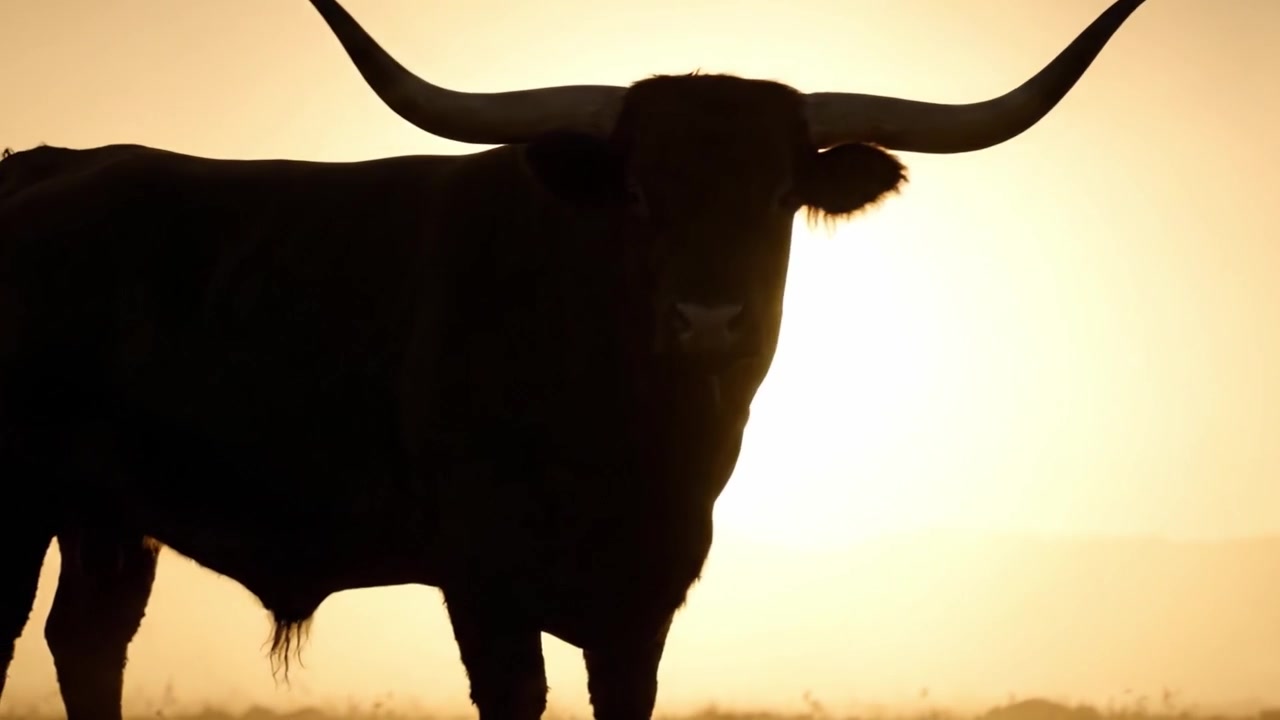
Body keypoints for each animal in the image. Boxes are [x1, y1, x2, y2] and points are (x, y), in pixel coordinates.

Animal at [0, 1, 1149, 719]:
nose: (706, 321)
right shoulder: (484, 580)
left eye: (780, 196)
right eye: (639, 191)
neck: (630, 433)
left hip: (108, 520)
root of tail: (47, 163)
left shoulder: (646, 597)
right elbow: (517, 696)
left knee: (89, 640)